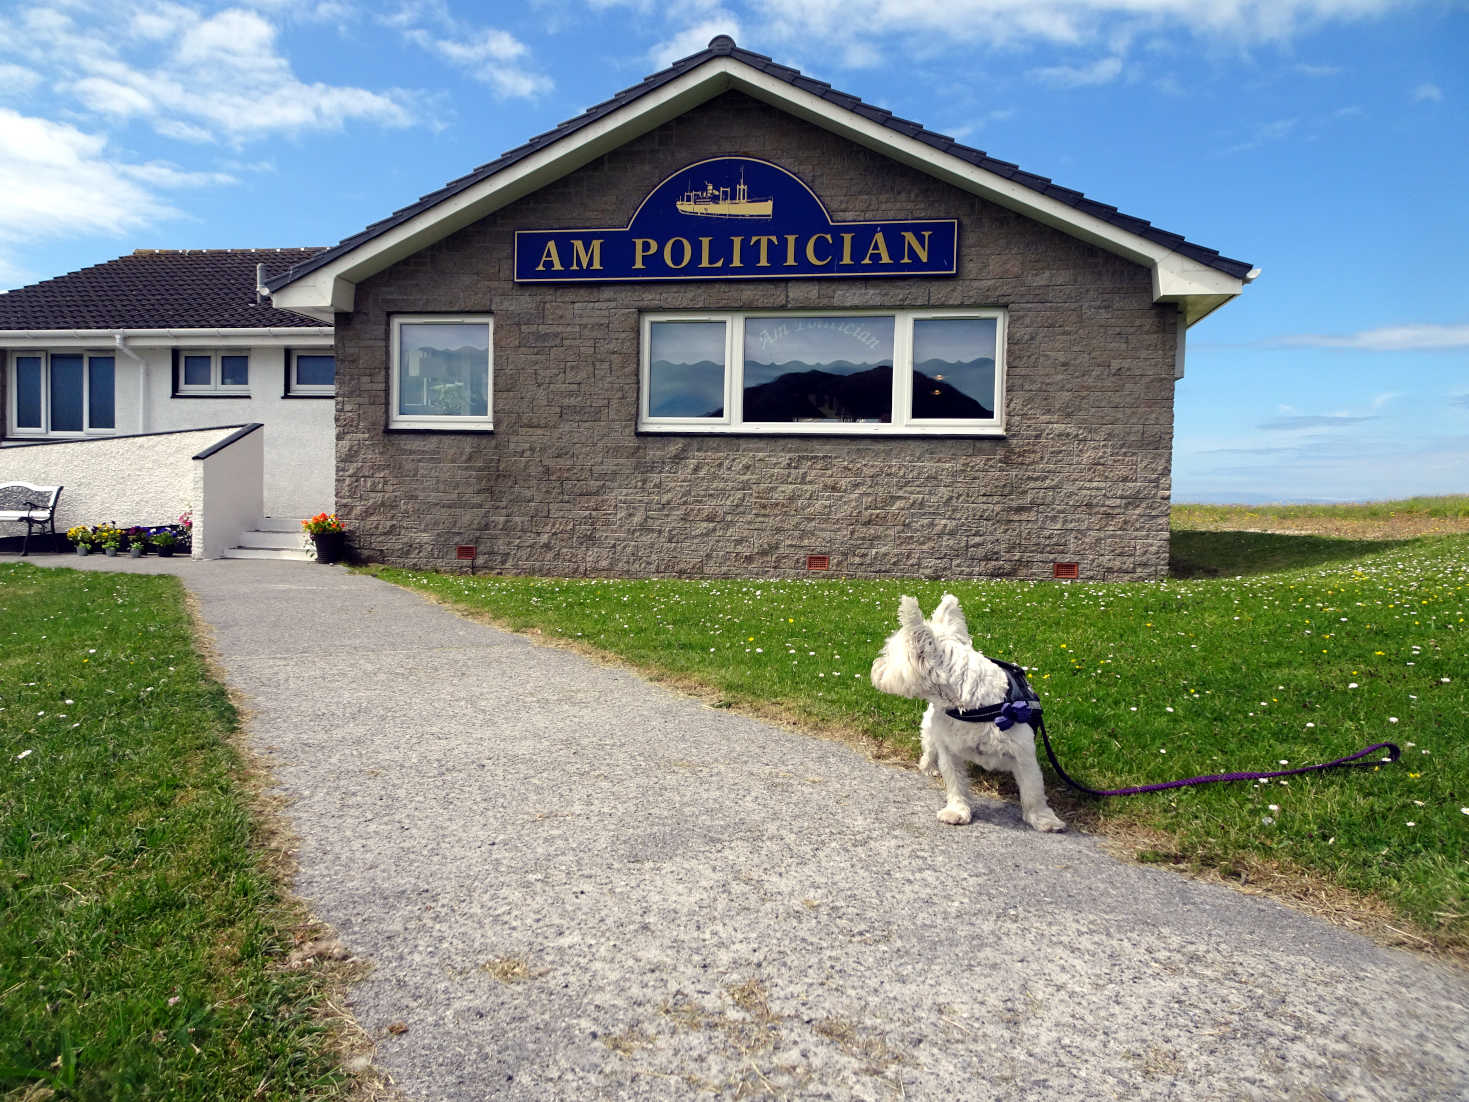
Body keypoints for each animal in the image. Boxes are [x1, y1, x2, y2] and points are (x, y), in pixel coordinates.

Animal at [869, 599, 1069, 834]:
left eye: (889, 654)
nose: (875, 666)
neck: (971, 708)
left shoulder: (1023, 753)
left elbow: (1033, 790)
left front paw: (1044, 819)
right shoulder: (949, 749)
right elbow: (955, 782)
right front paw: (957, 811)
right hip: (930, 732)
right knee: (929, 749)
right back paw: (929, 767)